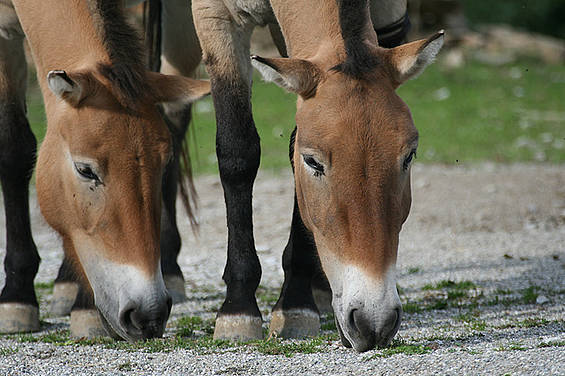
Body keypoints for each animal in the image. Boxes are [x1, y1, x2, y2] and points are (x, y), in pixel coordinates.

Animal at [0, 0, 209, 340]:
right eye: (85, 171)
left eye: (164, 164)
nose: (148, 314)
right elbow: (12, 147)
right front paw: (17, 297)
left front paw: (84, 309)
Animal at [192, 0, 442, 352]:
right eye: (312, 162)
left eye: (409, 155)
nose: (374, 321)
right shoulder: (215, 17)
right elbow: (237, 153)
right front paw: (238, 309)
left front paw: (296, 303)